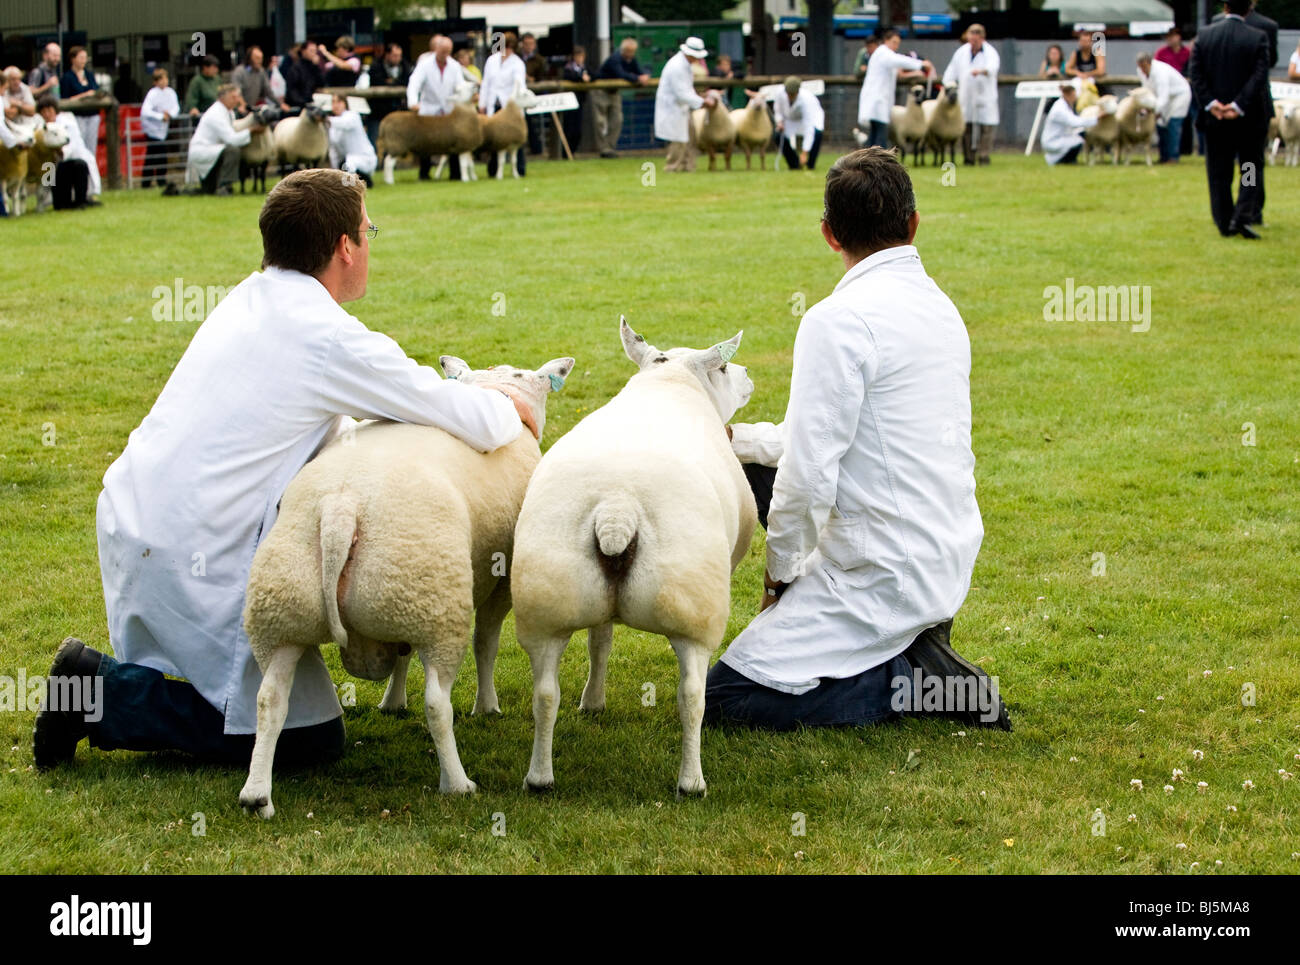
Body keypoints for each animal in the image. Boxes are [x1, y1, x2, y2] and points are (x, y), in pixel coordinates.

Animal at [239, 351, 574, 821]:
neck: (489, 390)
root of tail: (342, 507)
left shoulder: (401, 608)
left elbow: (399, 653)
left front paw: (392, 702)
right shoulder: (501, 581)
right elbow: (486, 643)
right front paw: (486, 706)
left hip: (292, 606)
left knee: (269, 699)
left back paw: (257, 796)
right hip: (434, 602)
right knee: (437, 702)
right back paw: (457, 783)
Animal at [506, 317, 754, 801]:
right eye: (722, 368)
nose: (748, 375)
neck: (667, 381)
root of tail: (617, 508)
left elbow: (600, 641)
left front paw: (593, 702)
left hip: (547, 600)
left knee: (544, 693)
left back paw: (539, 776)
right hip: (693, 608)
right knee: (691, 696)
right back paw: (692, 781)